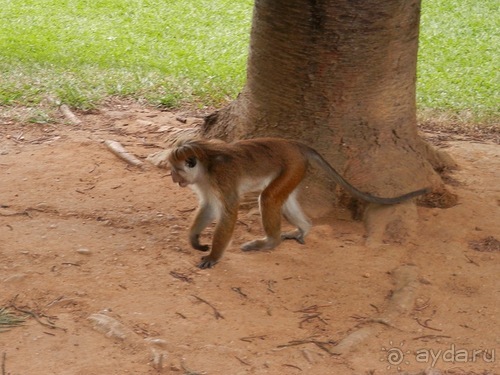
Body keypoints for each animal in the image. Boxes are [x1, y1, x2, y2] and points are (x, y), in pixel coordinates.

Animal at [169, 138, 430, 270]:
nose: (173, 178)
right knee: (281, 199)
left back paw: (270, 242)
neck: (206, 164)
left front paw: (214, 255)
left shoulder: (221, 177)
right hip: (296, 169)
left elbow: (228, 211)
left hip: (292, 164)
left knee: (269, 198)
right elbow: (210, 207)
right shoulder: (204, 182)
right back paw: (304, 229)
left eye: (176, 170)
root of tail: (295, 145)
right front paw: (195, 240)